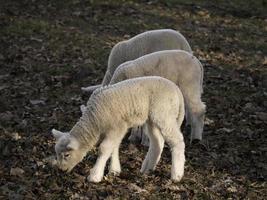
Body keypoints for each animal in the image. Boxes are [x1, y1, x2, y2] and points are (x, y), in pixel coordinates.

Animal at [51, 76, 186, 183]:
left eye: (67, 155)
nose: (61, 170)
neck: (94, 121)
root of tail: (177, 90)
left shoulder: (116, 127)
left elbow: (104, 149)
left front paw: (95, 175)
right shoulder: (117, 129)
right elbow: (114, 147)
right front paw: (114, 170)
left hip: (164, 114)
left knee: (177, 141)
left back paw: (177, 175)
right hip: (152, 118)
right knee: (158, 142)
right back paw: (147, 169)